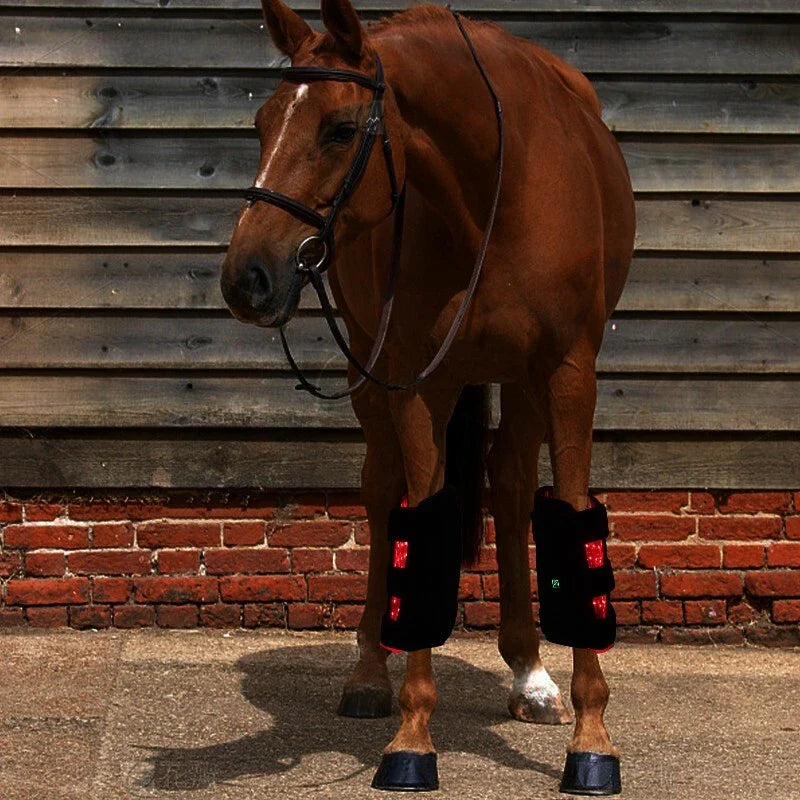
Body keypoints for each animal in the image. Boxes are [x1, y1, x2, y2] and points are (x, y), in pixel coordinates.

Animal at [220, 0, 636, 794]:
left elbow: (568, 517)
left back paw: (530, 675)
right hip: (372, 366)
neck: (495, 194)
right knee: (385, 493)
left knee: (510, 483)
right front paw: (412, 740)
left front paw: (592, 740)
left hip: (520, 380)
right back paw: (367, 675)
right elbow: (422, 518)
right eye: (261, 124)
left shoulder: (569, 373)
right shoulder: (415, 380)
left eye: (339, 128)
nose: (245, 278)